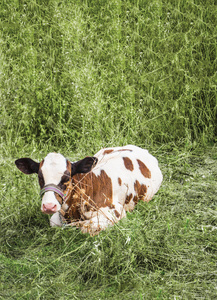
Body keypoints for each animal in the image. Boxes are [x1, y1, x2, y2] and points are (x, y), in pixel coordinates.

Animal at [15, 145, 163, 234]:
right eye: (40, 177)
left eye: (66, 177)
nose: (49, 206)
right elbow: (55, 223)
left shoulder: (114, 213)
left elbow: (85, 226)